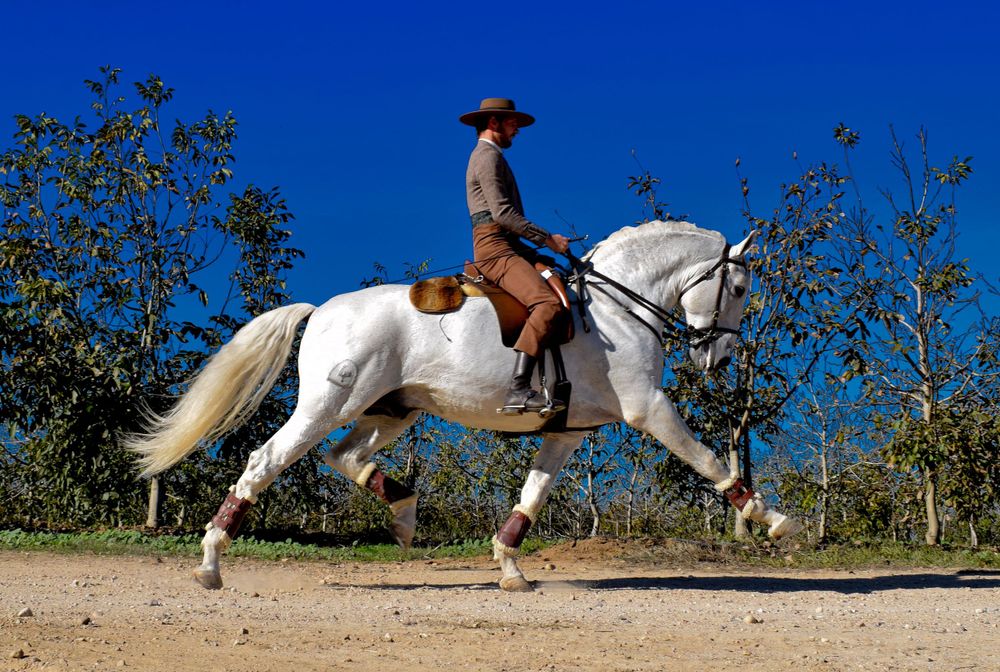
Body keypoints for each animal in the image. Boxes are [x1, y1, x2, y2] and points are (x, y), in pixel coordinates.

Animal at [125, 220, 801, 592]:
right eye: (739, 287)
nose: (718, 359)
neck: (619, 308)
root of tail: (321, 310)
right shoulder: (649, 408)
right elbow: (711, 462)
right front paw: (772, 519)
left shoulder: (570, 429)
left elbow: (533, 494)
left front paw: (509, 566)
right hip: (329, 404)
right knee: (267, 460)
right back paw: (211, 561)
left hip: (393, 409)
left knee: (349, 459)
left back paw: (402, 513)